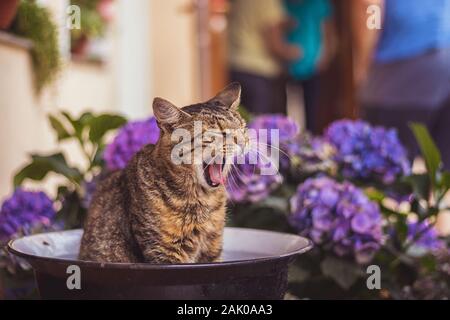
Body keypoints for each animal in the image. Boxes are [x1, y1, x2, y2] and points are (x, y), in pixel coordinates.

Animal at [77, 82, 246, 262]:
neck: (204, 199)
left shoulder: (212, 249)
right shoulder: (164, 251)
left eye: (242, 128)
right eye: (214, 133)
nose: (242, 141)